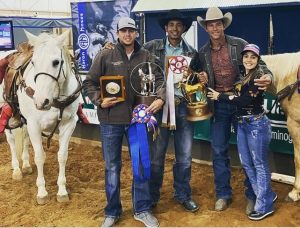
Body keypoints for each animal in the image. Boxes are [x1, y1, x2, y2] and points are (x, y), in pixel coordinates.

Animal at [17, 30, 81, 205]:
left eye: (56, 62)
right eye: (33, 62)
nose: (41, 101)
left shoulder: (69, 124)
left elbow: (62, 156)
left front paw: (62, 191)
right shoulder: (34, 125)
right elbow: (40, 157)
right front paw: (42, 192)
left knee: (25, 139)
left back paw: (25, 165)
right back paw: (16, 170)